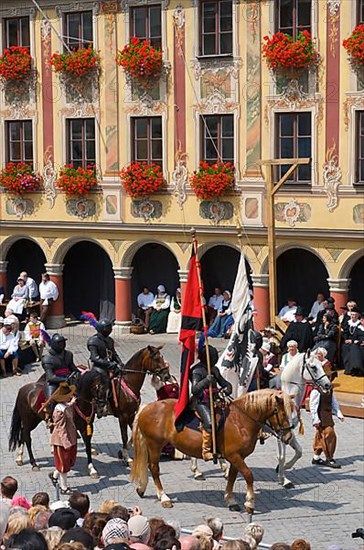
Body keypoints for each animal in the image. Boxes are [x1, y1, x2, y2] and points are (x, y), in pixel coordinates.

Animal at [132, 390, 296, 516]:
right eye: (280, 412)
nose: (288, 436)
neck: (240, 421)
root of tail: (147, 407)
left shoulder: (237, 457)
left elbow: (232, 477)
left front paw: (230, 500)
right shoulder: (234, 456)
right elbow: (249, 475)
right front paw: (249, 503)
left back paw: (142, 488)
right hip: (154, 445)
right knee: (154, 468)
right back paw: (164, 497)